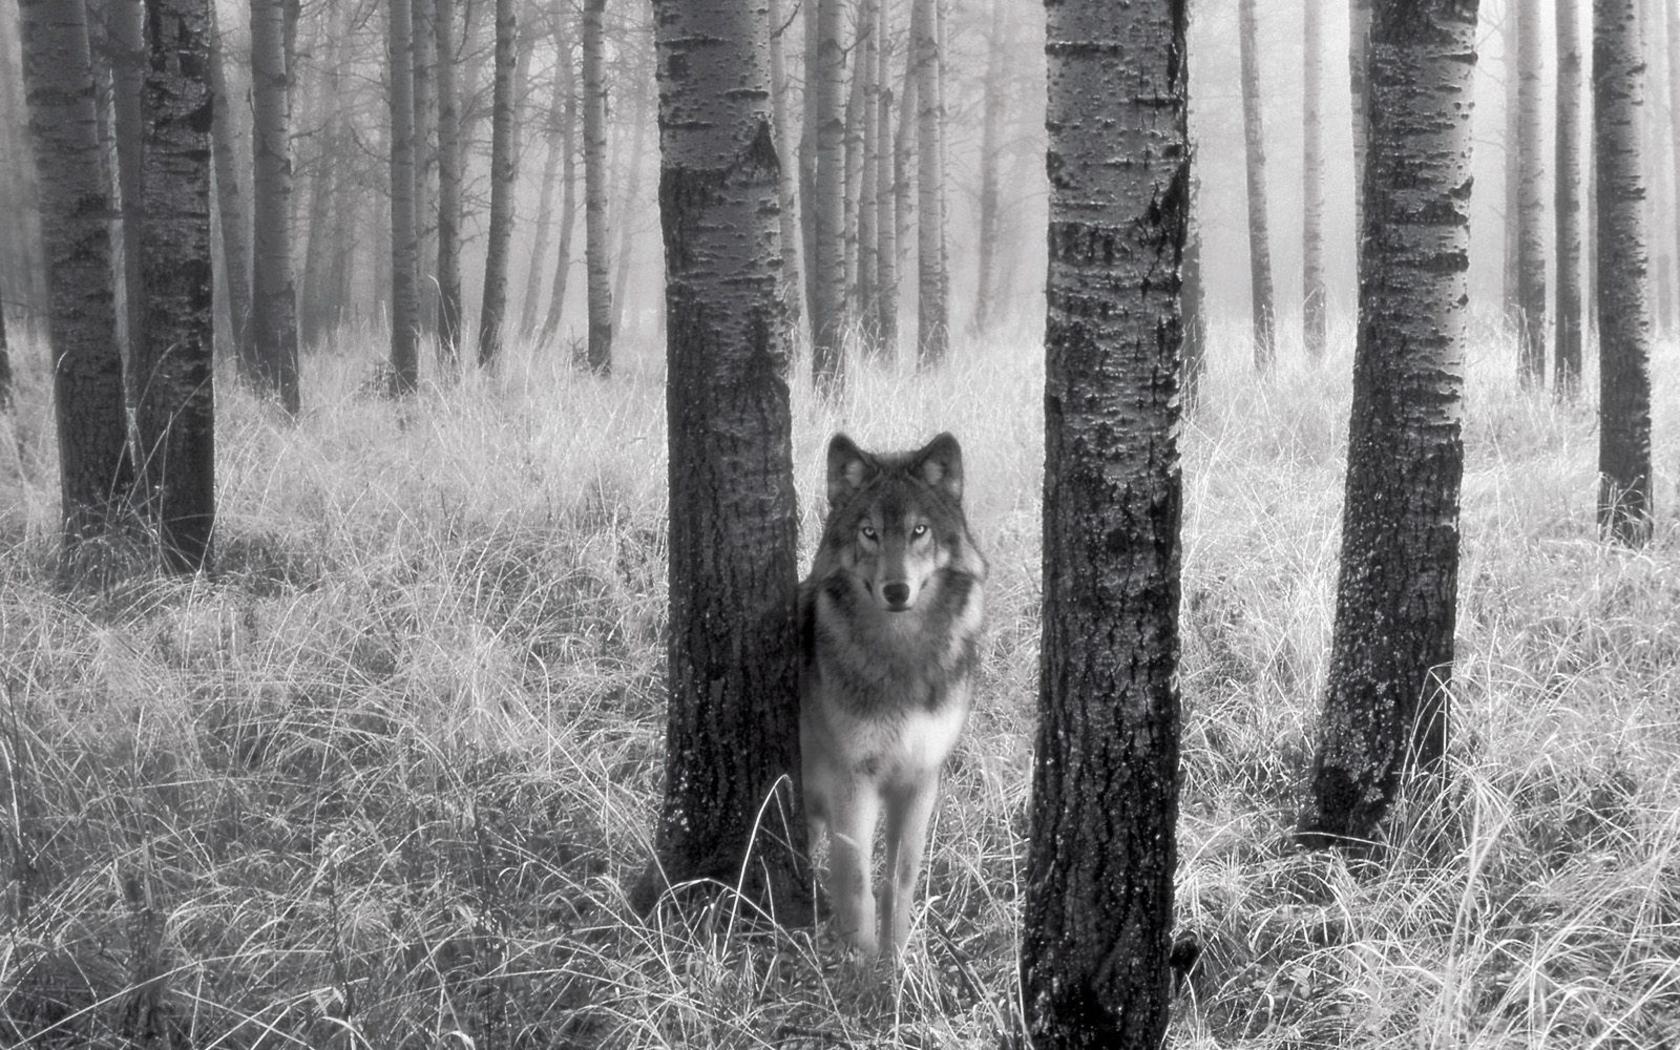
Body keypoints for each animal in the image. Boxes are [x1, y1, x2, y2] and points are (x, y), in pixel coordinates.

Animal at [798, 431, 987, 961]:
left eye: (919, 530)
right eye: (870, 533)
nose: (897, 590)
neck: (902, 654)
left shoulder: (921, 778)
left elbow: (900, 881)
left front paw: (897, 960)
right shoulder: (852, 779)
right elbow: (857, 882)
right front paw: (861, 967)